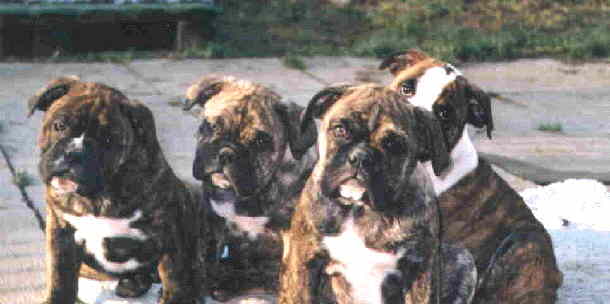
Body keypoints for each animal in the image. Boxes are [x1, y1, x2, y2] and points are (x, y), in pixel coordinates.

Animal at [28, 77, 203, 304]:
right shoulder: (60, 231)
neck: (98, 196)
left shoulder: (169, 231)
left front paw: (176, 297)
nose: (73, 154)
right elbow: (59, 275)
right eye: (59, 125)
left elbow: (174, 274)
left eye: (108, 140)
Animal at [182, 75, 318, 302]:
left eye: (261, 141)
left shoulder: (292, 237)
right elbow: (207, 258)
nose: (226, 153)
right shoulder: (213, 221)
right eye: (212, 126)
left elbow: (291, 276)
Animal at [280, 83, 476, 304]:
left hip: (463, 261)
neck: (360, 208)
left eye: (394, 144)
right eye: (340, 130)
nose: (361, 157)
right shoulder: (304, 260)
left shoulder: (421, 268)